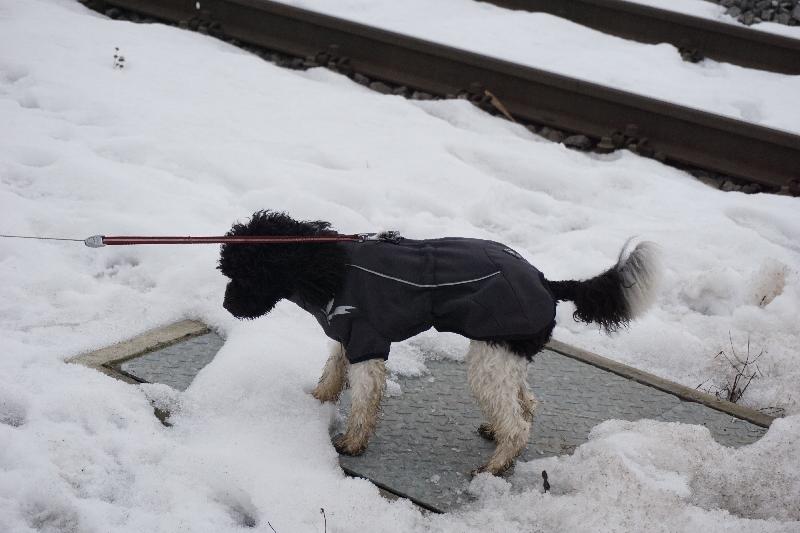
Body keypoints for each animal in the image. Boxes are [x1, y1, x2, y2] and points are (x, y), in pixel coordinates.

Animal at [218, 210, 661, 475]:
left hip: (489, 358)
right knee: (526, 402)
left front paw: (352, 443)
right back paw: (497, 435)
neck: (327, 267)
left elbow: (363, 401)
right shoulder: (348, 338)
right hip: (506, 355)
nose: (226, 305)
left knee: (518, 423)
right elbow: (332, 373)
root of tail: (548, 282)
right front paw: (315, 404)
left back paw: (496, 466)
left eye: (248, 274)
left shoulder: (368, 342)